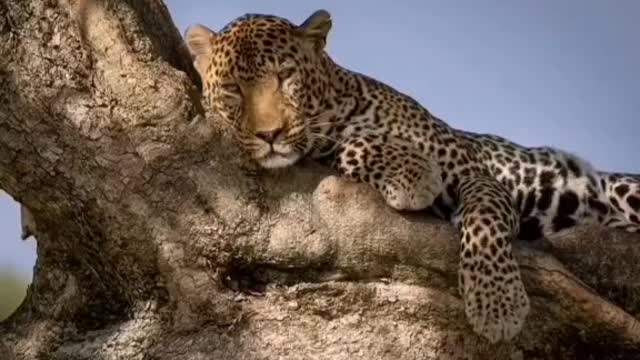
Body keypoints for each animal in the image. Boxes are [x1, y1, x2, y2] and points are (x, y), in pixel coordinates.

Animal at [184, 9, 640, 344]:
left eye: (285, 77)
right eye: (233, 89)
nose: (270, 134)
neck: (338, 108)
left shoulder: (475, 173)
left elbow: (485, 223)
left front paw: (498, 304)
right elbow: (353, 148)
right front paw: (411, 172)